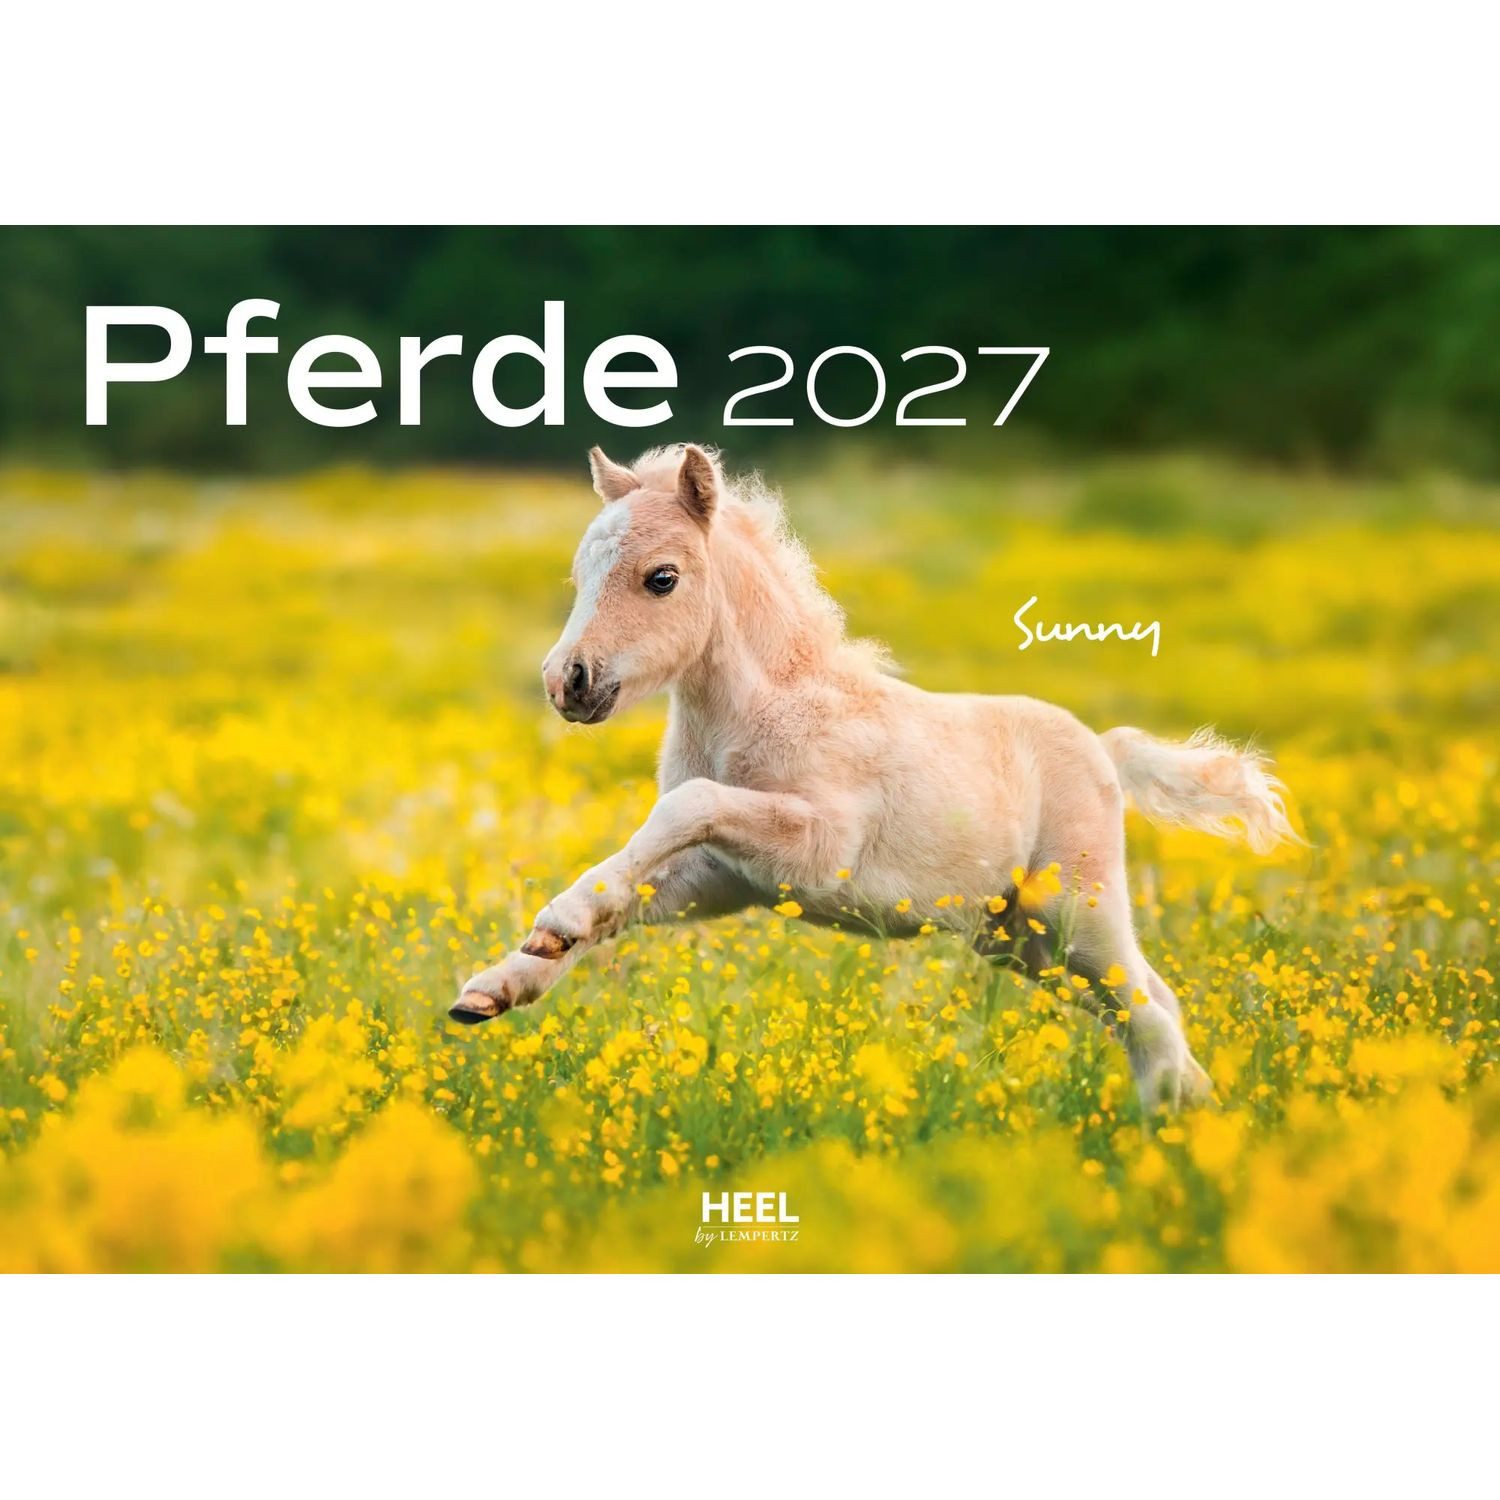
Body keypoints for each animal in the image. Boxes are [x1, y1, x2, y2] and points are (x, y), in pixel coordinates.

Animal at [450, 444, 1297, 1109]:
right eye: (580, 573)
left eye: (662, 577)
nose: (569, 682)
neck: (768, 707)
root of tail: (1103, 748)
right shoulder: (726, 878)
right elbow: (630, 890)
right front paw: (504, 981)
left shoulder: (819, 849)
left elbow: (685, 805)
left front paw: (554, 922)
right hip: (1020, 941)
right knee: (1144, 1009)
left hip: (1073, 913)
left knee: (1149, 1009)